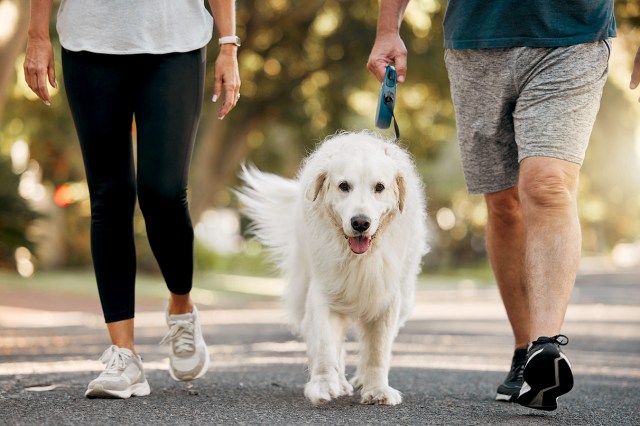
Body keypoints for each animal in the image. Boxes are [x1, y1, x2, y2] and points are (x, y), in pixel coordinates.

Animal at [238, 131, 428, 404]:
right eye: (344, 186)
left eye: (379, 187)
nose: (360, 223)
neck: (359, 259)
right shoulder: (323, 292)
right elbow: (326, 345)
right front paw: (324, 384)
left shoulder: (386, 297)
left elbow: (378, 350)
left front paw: (377, 389)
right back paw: (339, 381)